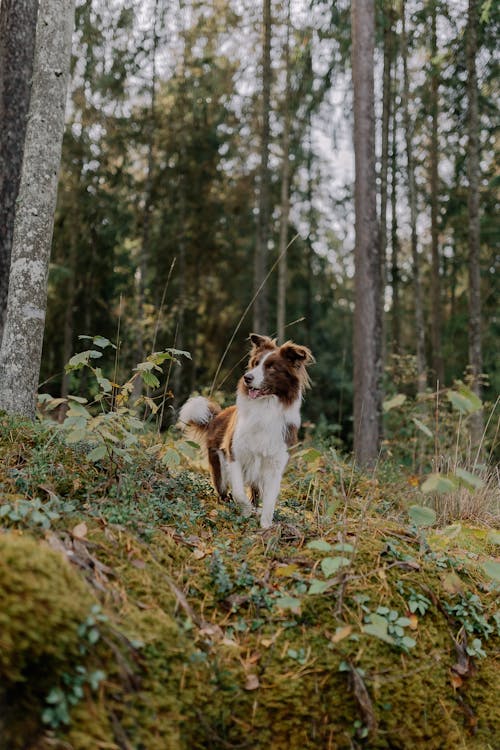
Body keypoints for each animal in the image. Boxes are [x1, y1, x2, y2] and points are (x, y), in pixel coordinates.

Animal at [179, 334, 312, 528]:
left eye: (271, 367)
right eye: (255, 363)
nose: (246, 378)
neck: (265, 408)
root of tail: (219, 415)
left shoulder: (275, 463)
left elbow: (270, 501)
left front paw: (266, 526)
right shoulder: (234, 454)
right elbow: (239, 492)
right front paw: (246, 512)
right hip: (219, 467)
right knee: (223, 489)